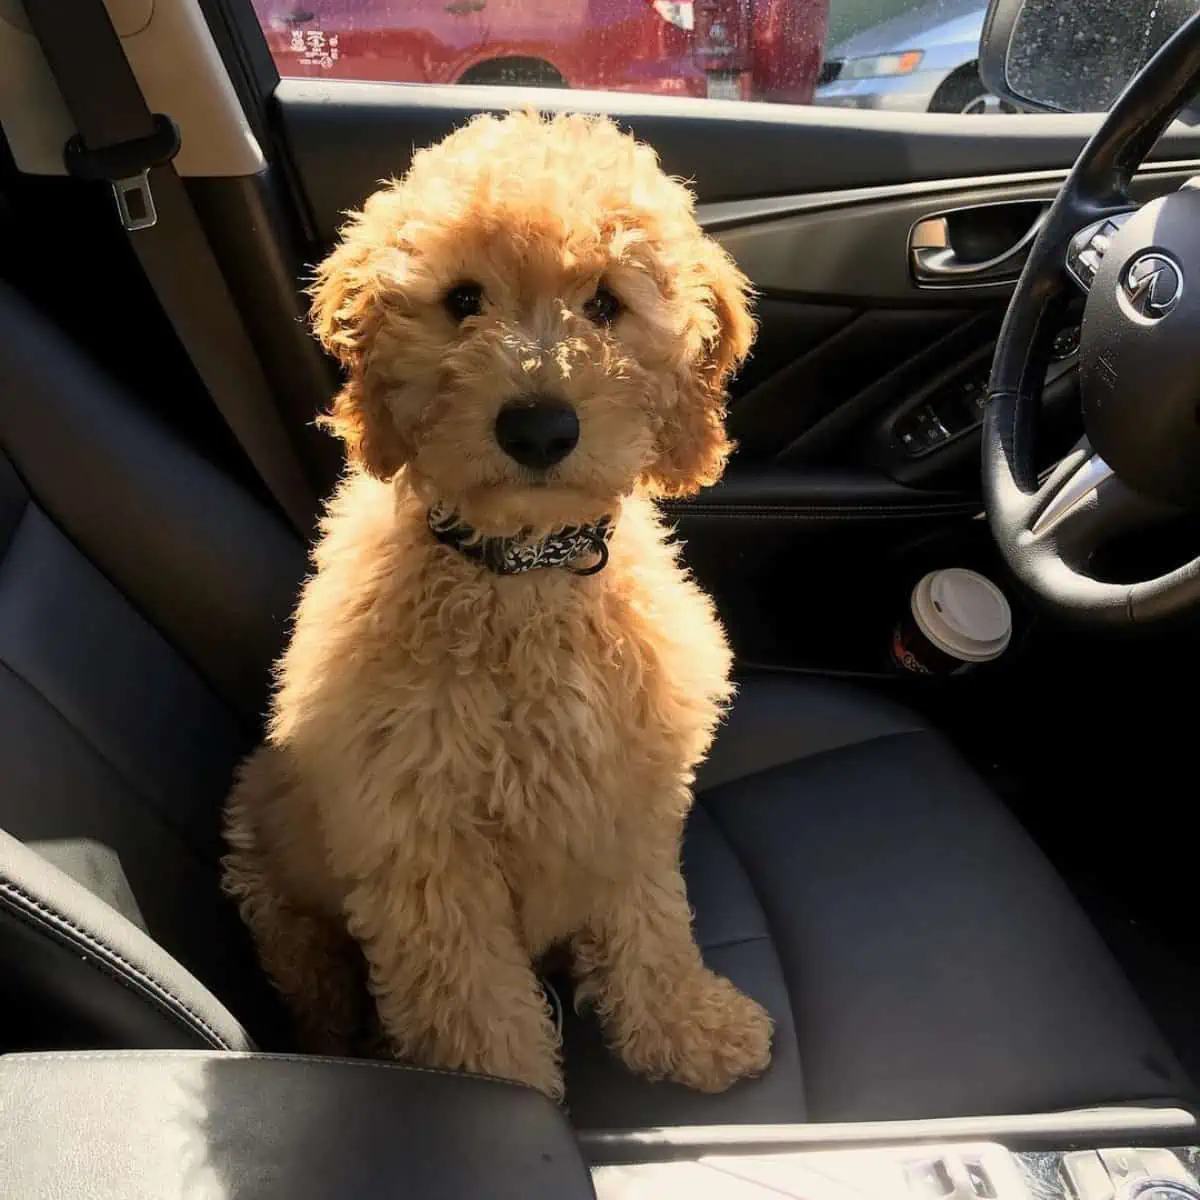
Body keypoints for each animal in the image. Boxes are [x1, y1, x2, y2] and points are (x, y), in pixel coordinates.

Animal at [223, 108, 768, 1099]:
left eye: (605, 304)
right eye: (463, 299)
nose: (540, 428)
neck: (523, 576)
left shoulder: (624, 794)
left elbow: (652, 929)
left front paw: (688, 1029)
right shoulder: (424, 853)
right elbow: (476, 1018)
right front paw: (514, 1109)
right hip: (267, 867)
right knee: (306, 967)